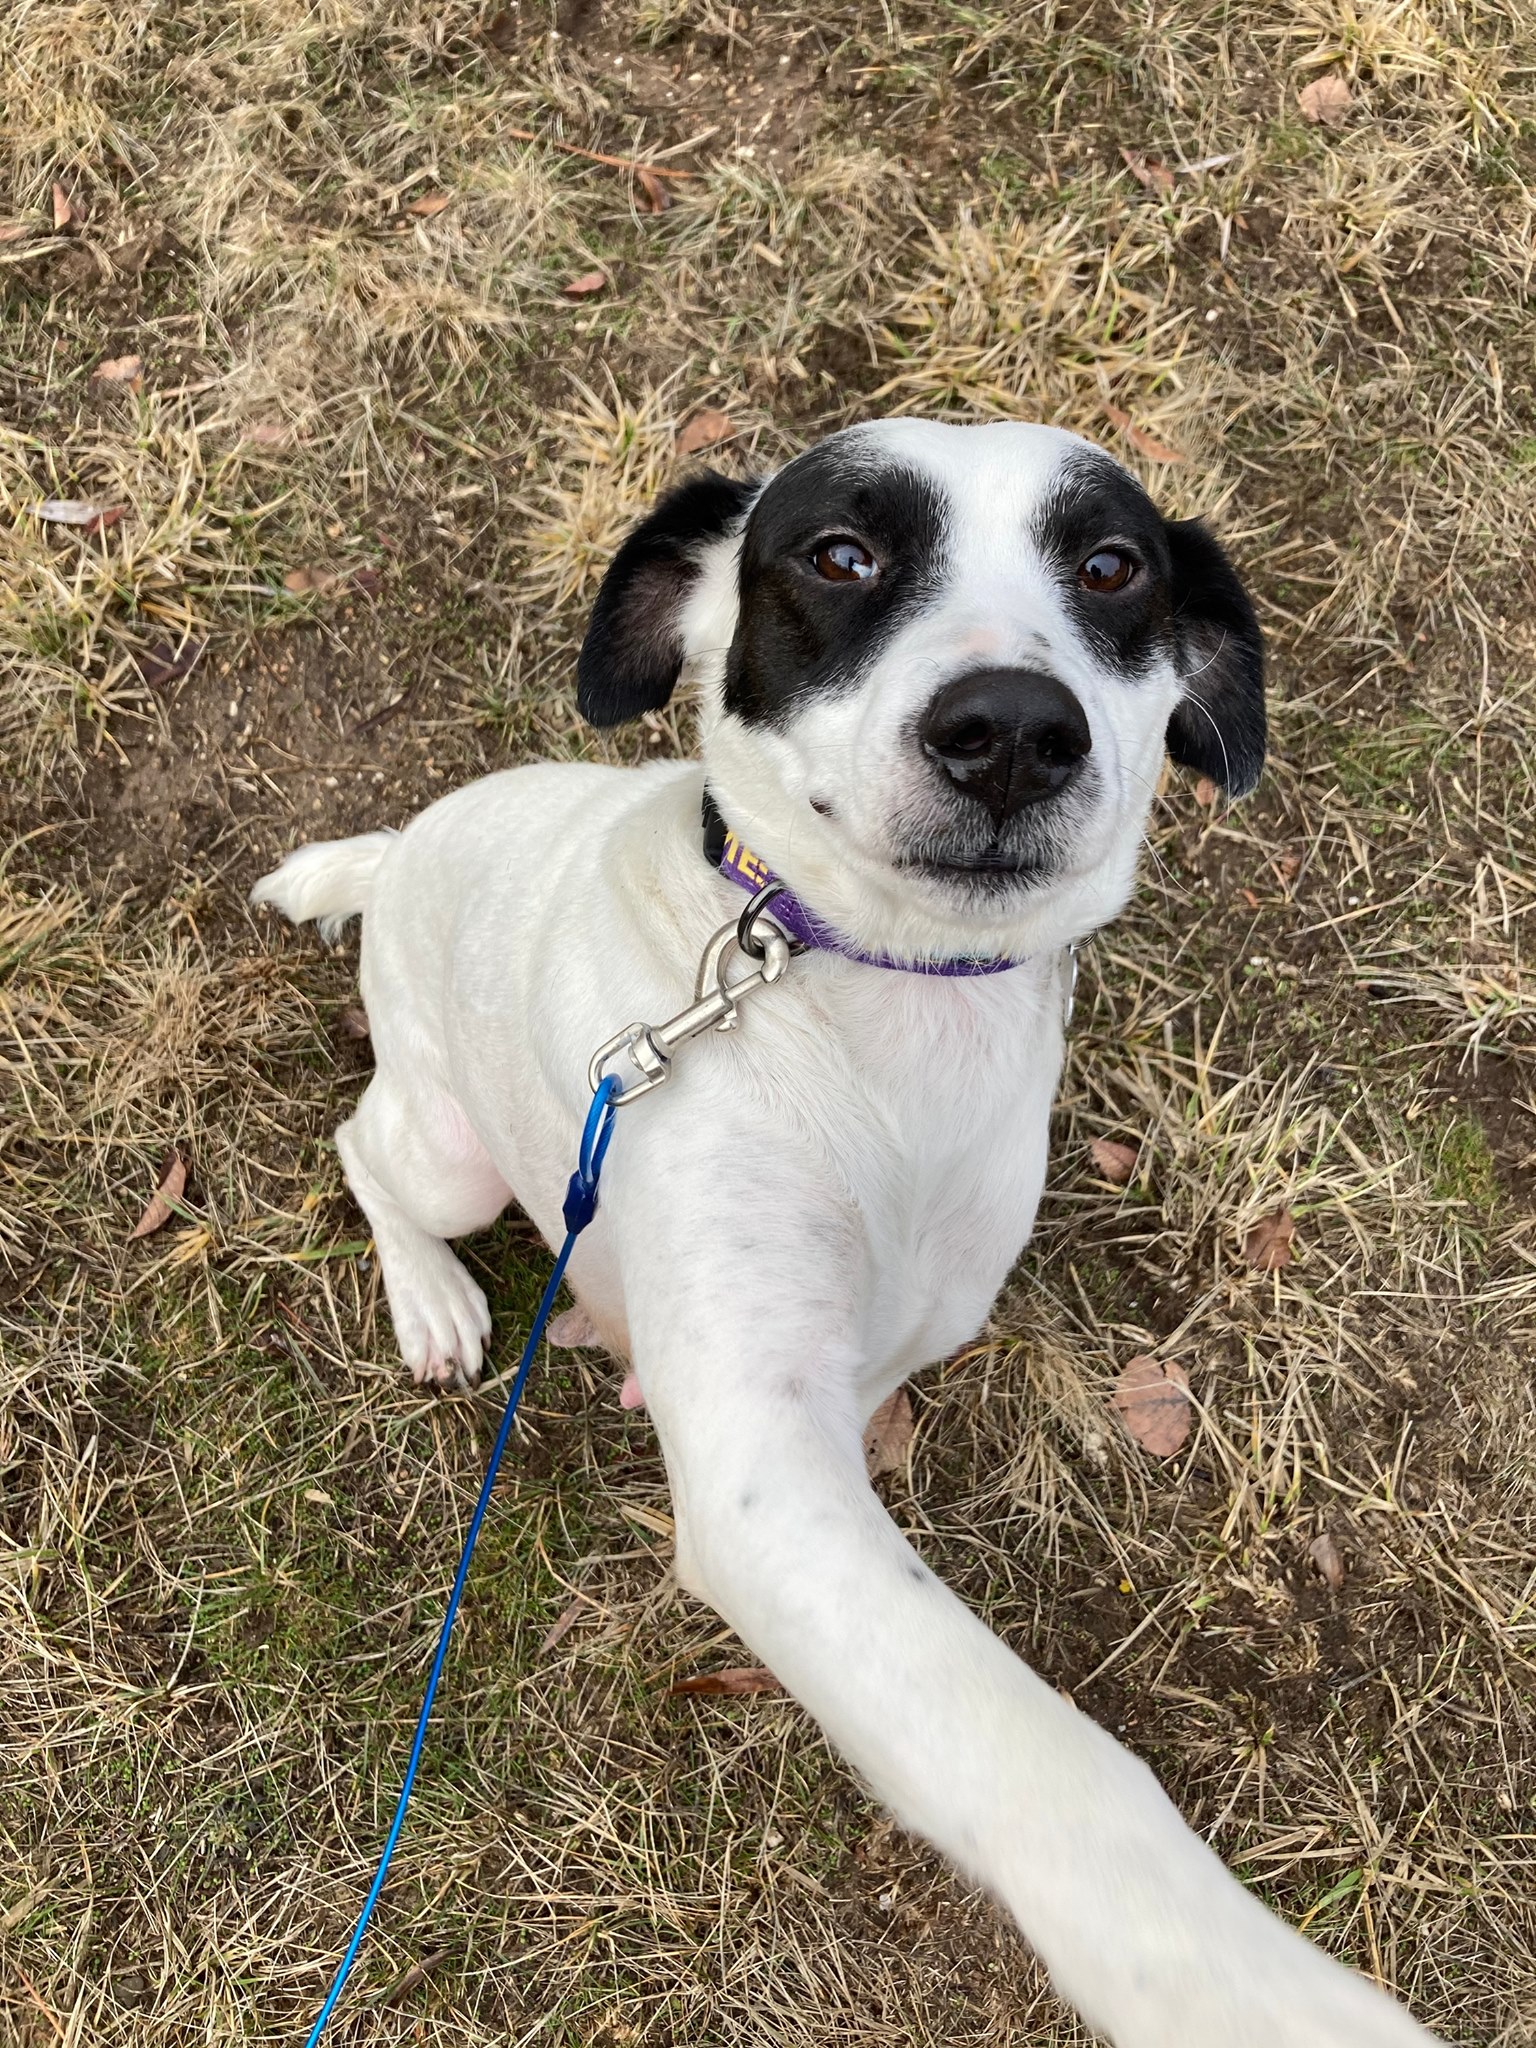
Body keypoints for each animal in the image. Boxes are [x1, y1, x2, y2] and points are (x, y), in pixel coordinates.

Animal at [256, 419, 1441, 2048]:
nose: (1011, 730)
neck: (884, 1011)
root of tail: (402, 849)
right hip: (453, 1155)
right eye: (839, 553)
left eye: (1110, 565)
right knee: (366, 1151)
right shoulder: (765, 1482)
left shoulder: (893, 1343)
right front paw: (1230, 1981)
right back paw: (430, 1297)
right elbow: (1043, 1757)